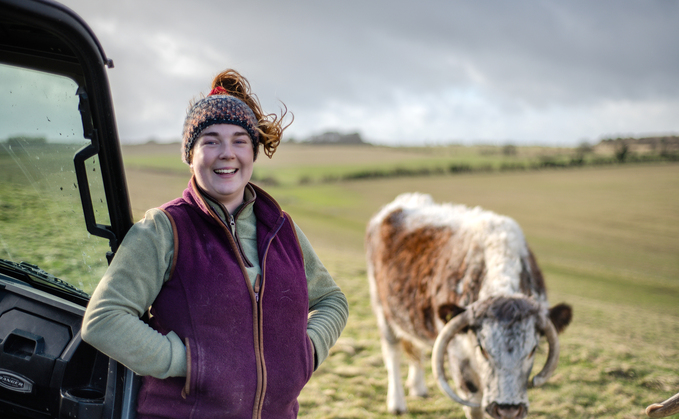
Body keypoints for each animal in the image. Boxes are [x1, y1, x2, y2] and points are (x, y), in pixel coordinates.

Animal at [366, 194, 572, 419]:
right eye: (482, 349)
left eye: (533, 349)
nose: (507, 409)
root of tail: (400, 203)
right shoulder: (460, 362)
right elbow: (474, 406)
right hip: (382, 310)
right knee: (392, 354)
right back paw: (397, 403)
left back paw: (418, 388)